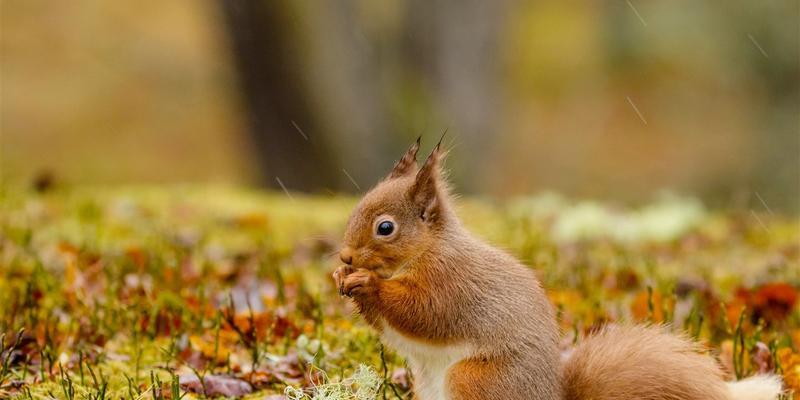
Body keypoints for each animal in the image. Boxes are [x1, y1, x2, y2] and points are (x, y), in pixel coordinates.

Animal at [332, 138, 780, 400]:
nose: (345, 256)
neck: (426, 250)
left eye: (385, 227)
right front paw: (343, 280)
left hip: (475, 380)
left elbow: (423, 312)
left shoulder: (451, 283)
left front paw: (368, 284)